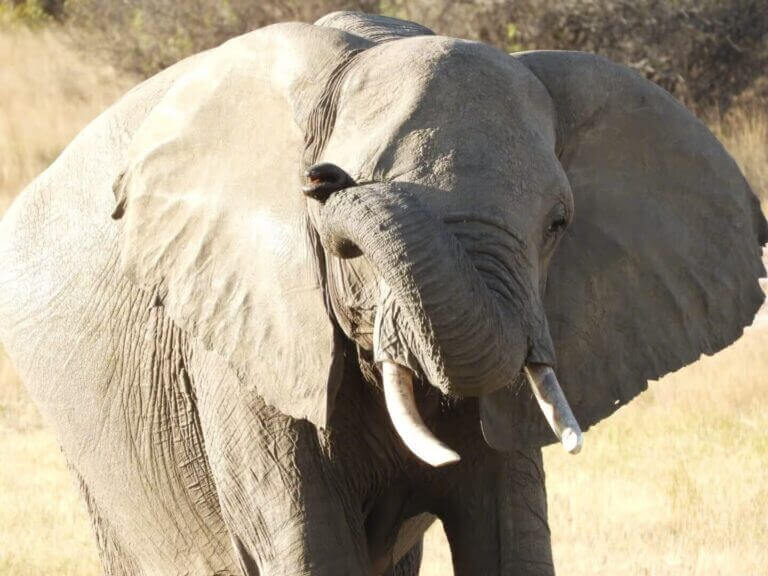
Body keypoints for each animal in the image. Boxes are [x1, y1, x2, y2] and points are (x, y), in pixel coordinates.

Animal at [0, 10, 765, 576]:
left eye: (558, 225)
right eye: (346, 251)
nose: (324, 179)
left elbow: (509, 528)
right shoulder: (241, 332)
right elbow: (307, 540)